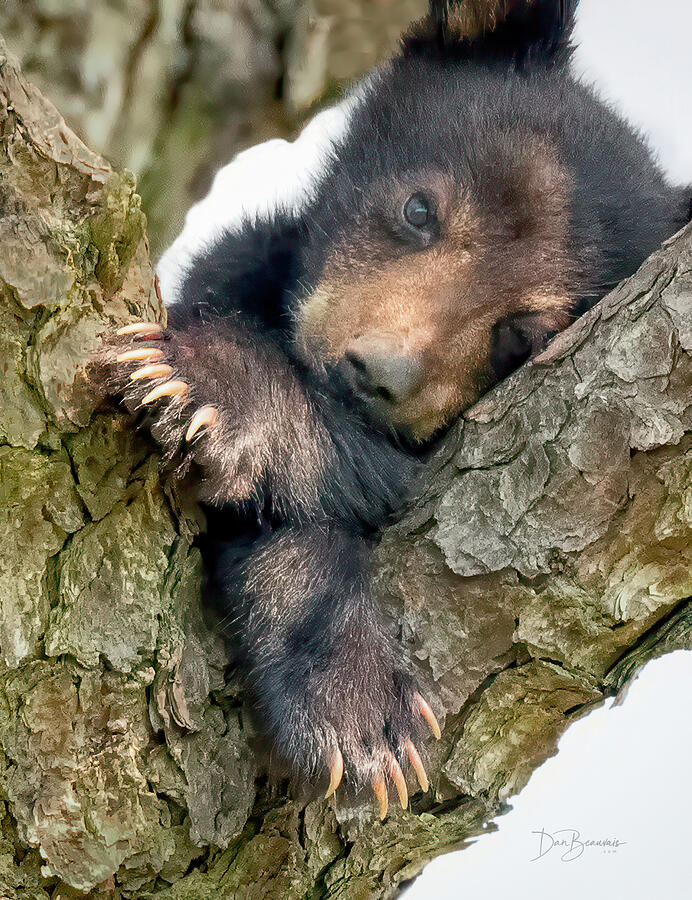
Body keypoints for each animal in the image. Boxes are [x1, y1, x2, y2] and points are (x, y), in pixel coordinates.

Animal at [107, 0, 690, 817]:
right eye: (420, 209)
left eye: (519, 337)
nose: (374, 372)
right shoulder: (235, 268)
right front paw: (208, 384)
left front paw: (360, 719)